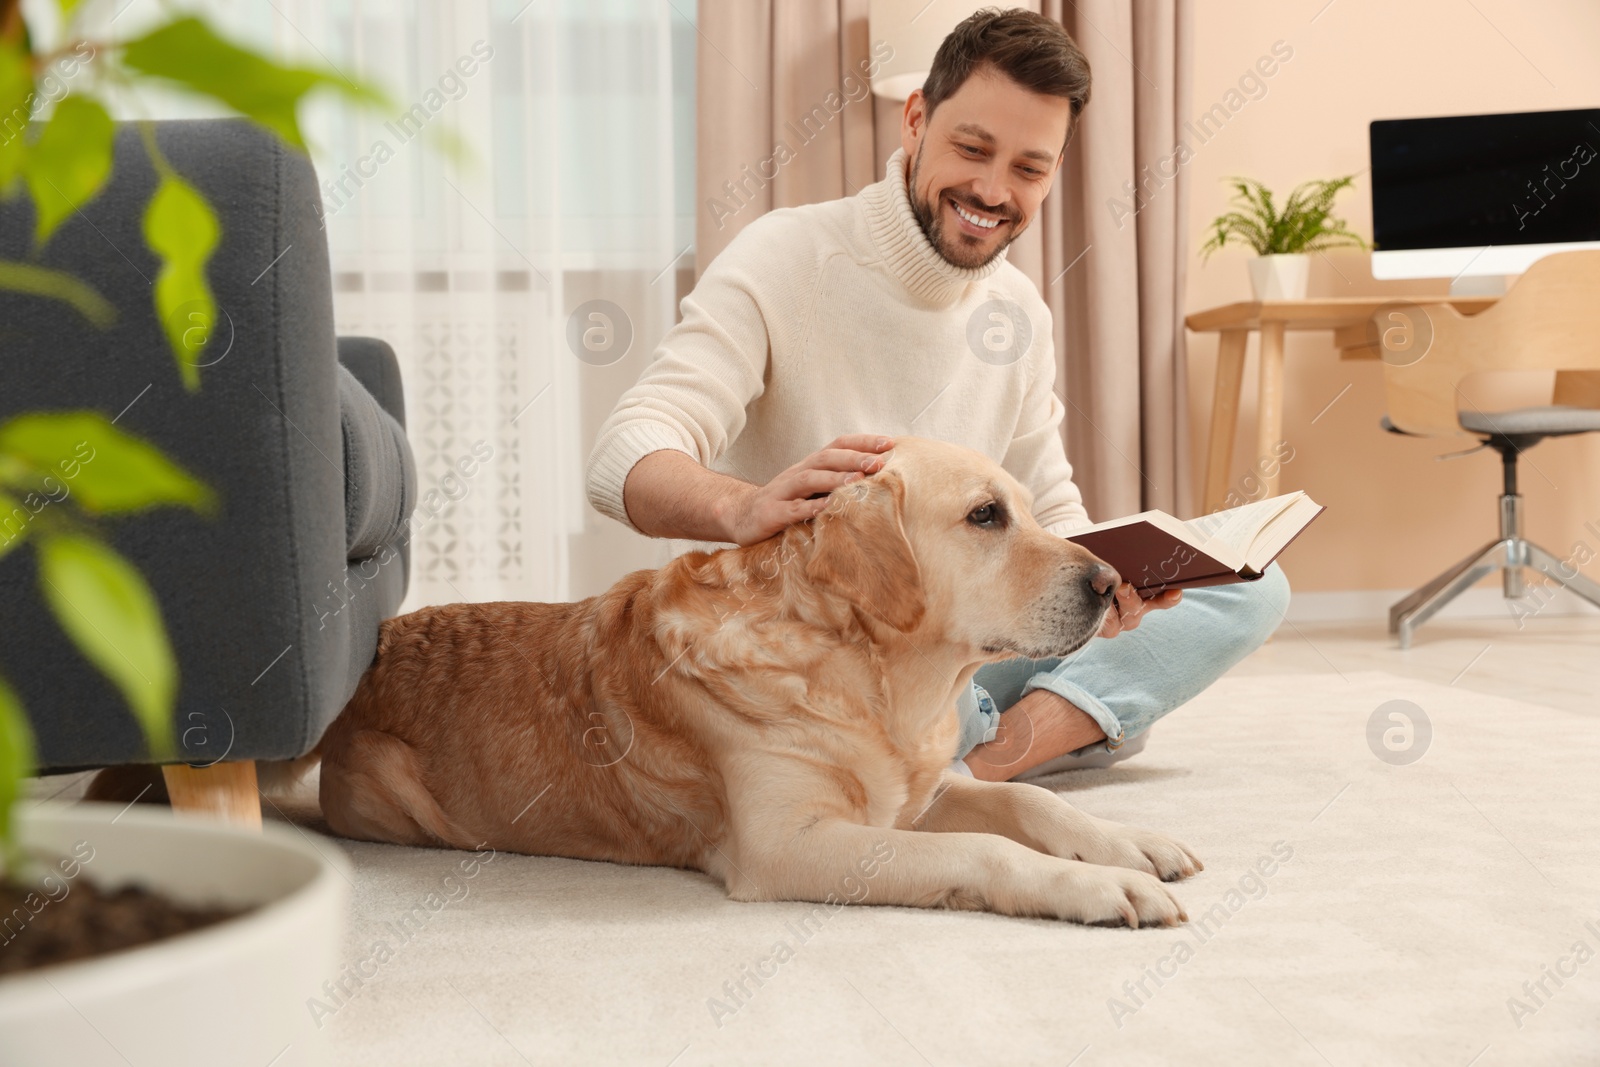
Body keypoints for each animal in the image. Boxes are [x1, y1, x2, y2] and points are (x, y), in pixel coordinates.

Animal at [308, 435, 1203, 927]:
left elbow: (1027, 801)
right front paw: (1098, 885)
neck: (866, 675)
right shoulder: (789, 843)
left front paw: (1132, 844)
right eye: (986, 515)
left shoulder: (917, 790)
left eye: (1027, 506)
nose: (1108, 583)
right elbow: (984, 847)